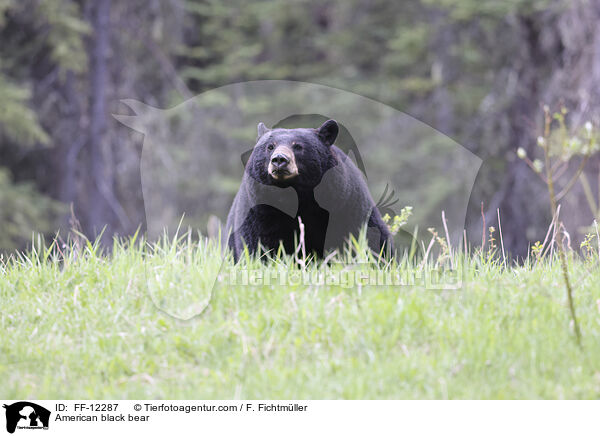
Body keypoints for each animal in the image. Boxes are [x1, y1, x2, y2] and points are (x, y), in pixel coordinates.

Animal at [226, 119, 394, 260]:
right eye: (270, 146)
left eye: (298, 146)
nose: (279, 159)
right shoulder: (259, 210)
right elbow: (257, 244)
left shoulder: (347, 204)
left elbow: (365, 237)